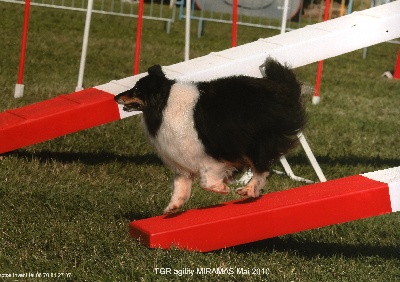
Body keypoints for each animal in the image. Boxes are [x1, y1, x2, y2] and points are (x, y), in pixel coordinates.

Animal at [115, 57, 306, 214]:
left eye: (137, 90)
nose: (116, 97)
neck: (165, 104)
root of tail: (281, 90)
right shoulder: (182, 160)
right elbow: (180, 185)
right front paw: (173, 207)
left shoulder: (208, 153)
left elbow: (206, 181)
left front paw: (222, 188)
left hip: (254, 141)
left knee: (262, 168)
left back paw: (248, 190)